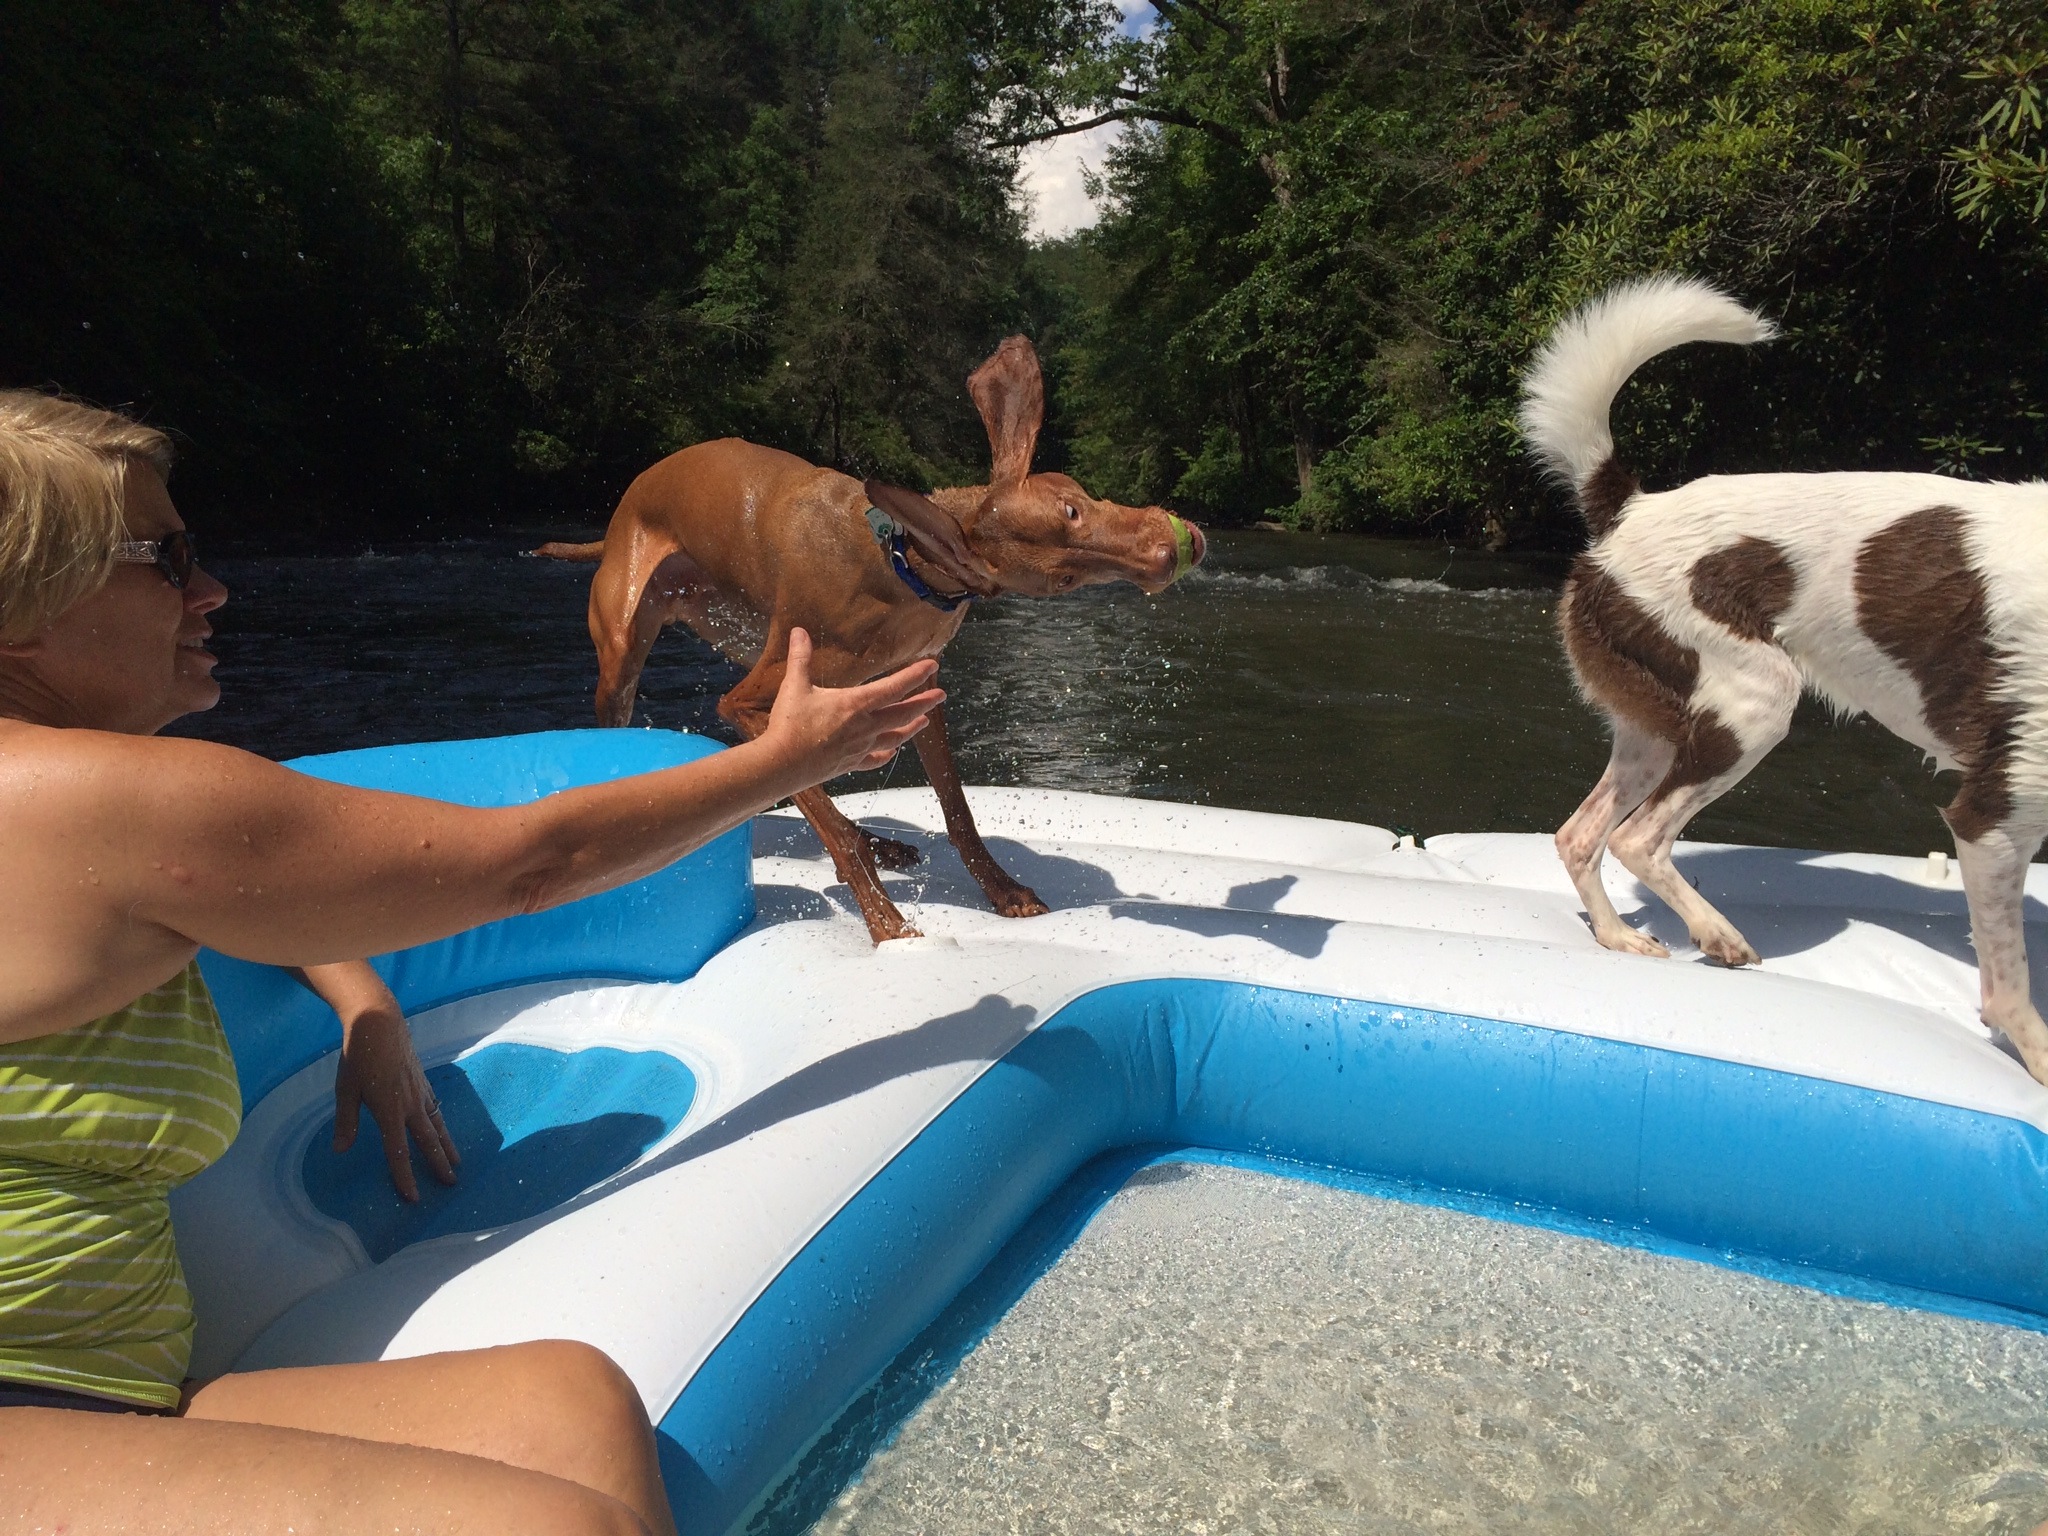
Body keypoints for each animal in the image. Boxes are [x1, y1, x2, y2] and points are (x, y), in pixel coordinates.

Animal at [534, 335, 1206, 943]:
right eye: (1070, 515)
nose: (1171, 553)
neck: (906, 563)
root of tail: (620, 516)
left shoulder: (918, 688)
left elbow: (957, 812)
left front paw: (1002, 889)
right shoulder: (752, 705)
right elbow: (822, 813)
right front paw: (887, 924)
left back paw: (883, 842)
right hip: (623, 658)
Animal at [1521, 274, 2048, 1086]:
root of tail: (1631, 507)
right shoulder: (1994, 815)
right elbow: (2013, 987)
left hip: (1657, 727)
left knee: (1582, 833)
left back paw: (1618, 937)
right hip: (1755, 705)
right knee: (1639, 838)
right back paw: (1716, 935)